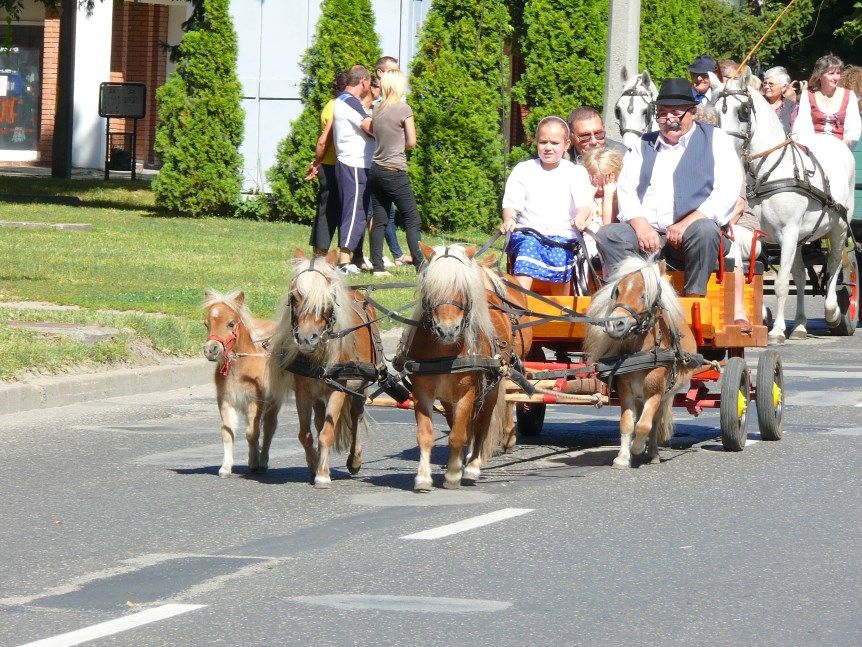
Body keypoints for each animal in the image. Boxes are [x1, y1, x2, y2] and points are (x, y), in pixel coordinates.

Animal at [203, 290, 282, 477]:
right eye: (206, 324)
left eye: (231, 323)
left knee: (269, 427)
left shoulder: (256, 402)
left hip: (274, 401)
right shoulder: (226, 402)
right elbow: (227, 432)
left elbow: (252, 433)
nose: (211, 350)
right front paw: (225, 467)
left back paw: (263, 461)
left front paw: (253, 463)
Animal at [267, 251, 382, 488]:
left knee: (355, 418)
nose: (306, 339)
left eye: (327, 300)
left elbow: (327, 433)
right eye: (294, 298)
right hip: (319, 397)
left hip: (360, 387)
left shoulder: (338, 390)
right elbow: (306, 434)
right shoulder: (303, 392)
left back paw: (354, 460)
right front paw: (314, 466)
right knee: (319, 421)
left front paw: (322, 474)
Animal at [396, 243, 519, 491]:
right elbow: (426, 434)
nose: (447, 330)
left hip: (490, 388)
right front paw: (423, 478)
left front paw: (453, 474)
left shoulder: (466, 391)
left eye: (462, 290)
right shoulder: (422, 390)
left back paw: (472, 466)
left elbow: (458, 435)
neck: (445, 350)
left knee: (481, 423)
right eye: (431, 289)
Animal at [584, 257, 698, 469]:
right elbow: (628, 423)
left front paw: (637, 448)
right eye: (617, 291)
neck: (640, 355)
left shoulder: (655, 392)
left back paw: (652, 453)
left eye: (645, 295)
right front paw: (623, 457)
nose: (615, 324)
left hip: (664, 395)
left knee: (653, 422)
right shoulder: (626, 391)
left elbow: (645, 424)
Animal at [711, 68, 856, 342]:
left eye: (742, 110)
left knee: (834, 266)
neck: (766, 173)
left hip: (839, 227)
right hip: (801, 238)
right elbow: (763, 276)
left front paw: (777, 330)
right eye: (714, 111)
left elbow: (780, 285)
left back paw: (833, 312)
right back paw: (799, 325)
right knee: (799, 276)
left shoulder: (787, 233)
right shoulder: (762, 235)